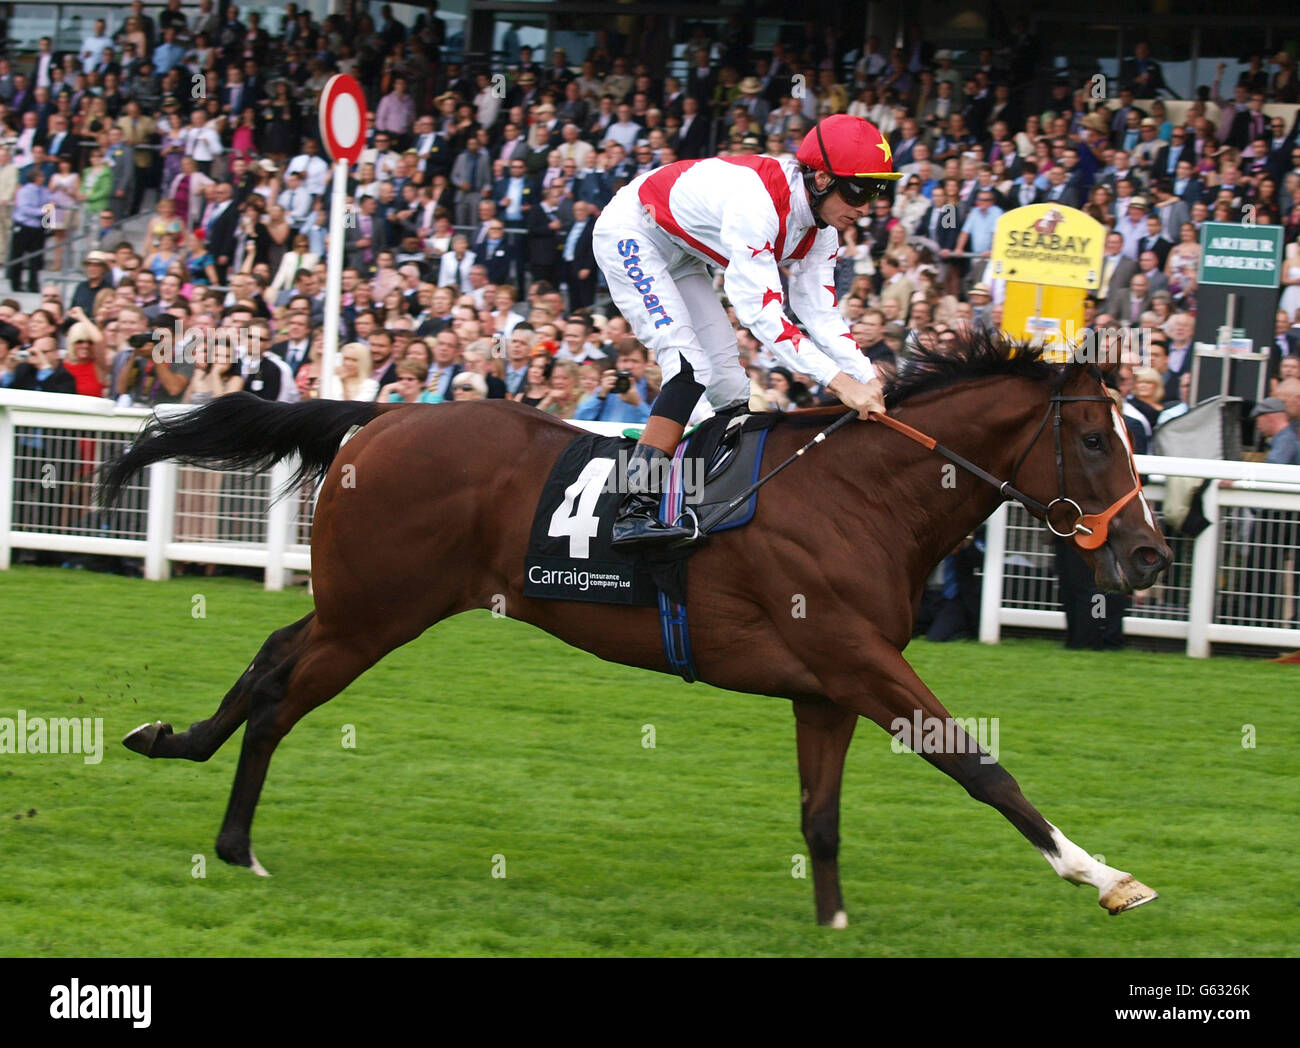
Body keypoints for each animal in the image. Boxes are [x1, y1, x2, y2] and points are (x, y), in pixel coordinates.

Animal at [101, 335, 1175, 925]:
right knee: (282, 692)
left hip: (360, 604)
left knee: (269, 659)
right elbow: (978, 763)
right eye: (1093, 439)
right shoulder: (858, 661)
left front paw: (831, 922)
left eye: (1134, 439)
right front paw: (1103, 875)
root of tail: (379, 418)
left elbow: (820, 819)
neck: (862, 496)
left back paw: (172, 745)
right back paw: (237, 844)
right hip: (376, 614)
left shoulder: (826, 686)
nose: (1150, 556)